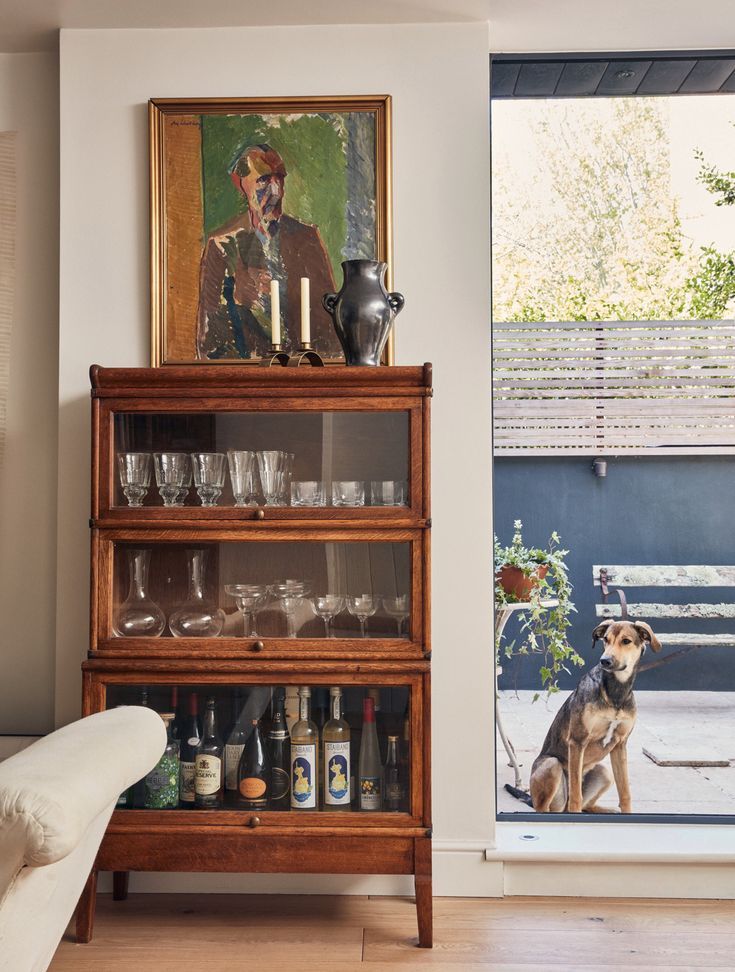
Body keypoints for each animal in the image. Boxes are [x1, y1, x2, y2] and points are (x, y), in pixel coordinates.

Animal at [528, 624, 660, 812]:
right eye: (605, 639)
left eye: (626, 641)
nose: (604, 661)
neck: (615, 694)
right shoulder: (577, 740)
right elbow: (576, 797)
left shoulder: (620, 745)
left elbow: (625, 794)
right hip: (551, 766)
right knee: (551, 806)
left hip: (604, 773)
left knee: (586, 804)